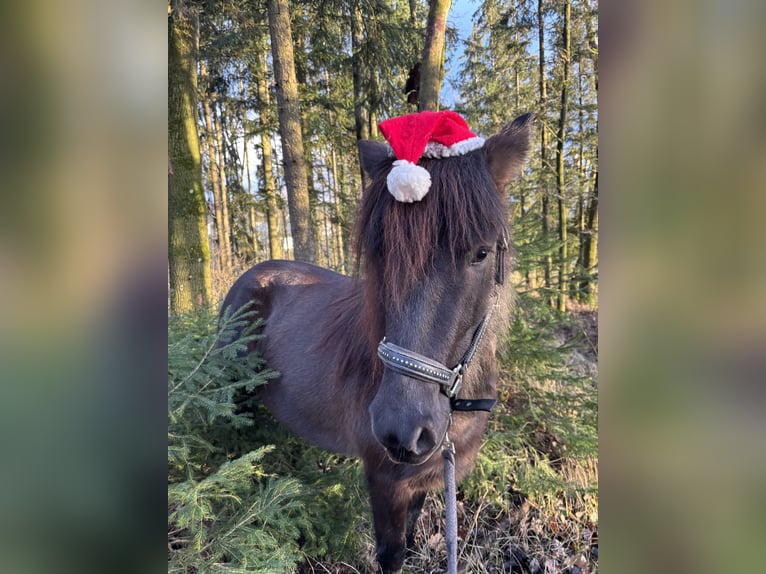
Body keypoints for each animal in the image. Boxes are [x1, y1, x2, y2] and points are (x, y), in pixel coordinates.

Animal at [222, 113, 536, 574]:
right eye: (380, 253)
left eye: (480, 253)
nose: (400, 430)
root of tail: (250, 273)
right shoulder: (385, 484)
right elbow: (392, 554)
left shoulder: (423, 479)